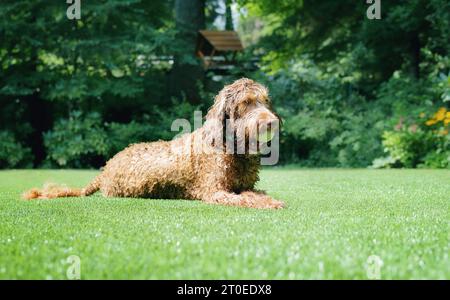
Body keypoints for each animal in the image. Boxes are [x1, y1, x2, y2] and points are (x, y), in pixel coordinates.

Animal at [22, 77, 284, 209]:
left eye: (265, 101)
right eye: (246, 102)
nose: (272, 122)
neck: (230, 147)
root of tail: (106, 169)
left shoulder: (243, 185)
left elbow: (254, 193)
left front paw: (269, 199)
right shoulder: (214, 191)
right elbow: (243, 199)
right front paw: (269, 204)